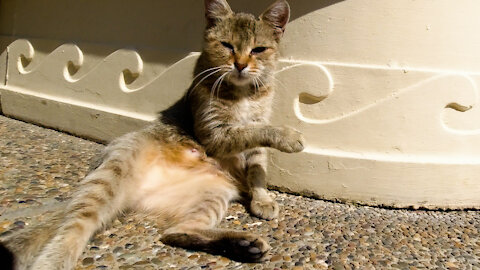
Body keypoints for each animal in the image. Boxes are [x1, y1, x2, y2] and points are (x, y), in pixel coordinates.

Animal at [0, 0, 304, 268]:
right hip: (110, 177)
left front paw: (262, 199)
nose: (240, 64)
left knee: (175, 232)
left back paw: (244, 245)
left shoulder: (254, 140)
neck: (243, 93)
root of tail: (136, 192)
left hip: (211, 196)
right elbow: (253, 131)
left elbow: (257, 169)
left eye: (258, 49)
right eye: (227, 46)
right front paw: (289, 136)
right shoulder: (215, 134)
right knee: (73, 229)